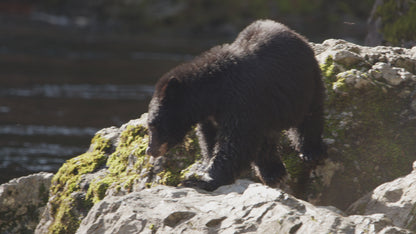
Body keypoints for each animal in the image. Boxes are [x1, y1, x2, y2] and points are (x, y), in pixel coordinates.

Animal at [146, 20, 324, 191]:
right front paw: (207, 167)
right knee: (267, 140)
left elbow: (235, 141)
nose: (150, 150)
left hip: (307, 84)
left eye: (152, 125)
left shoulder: (242, 100)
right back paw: (272, 172)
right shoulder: (211, 116)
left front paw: (203, 180)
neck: (215, 92)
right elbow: (209, 138)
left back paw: (309, 152)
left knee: (309, 117)